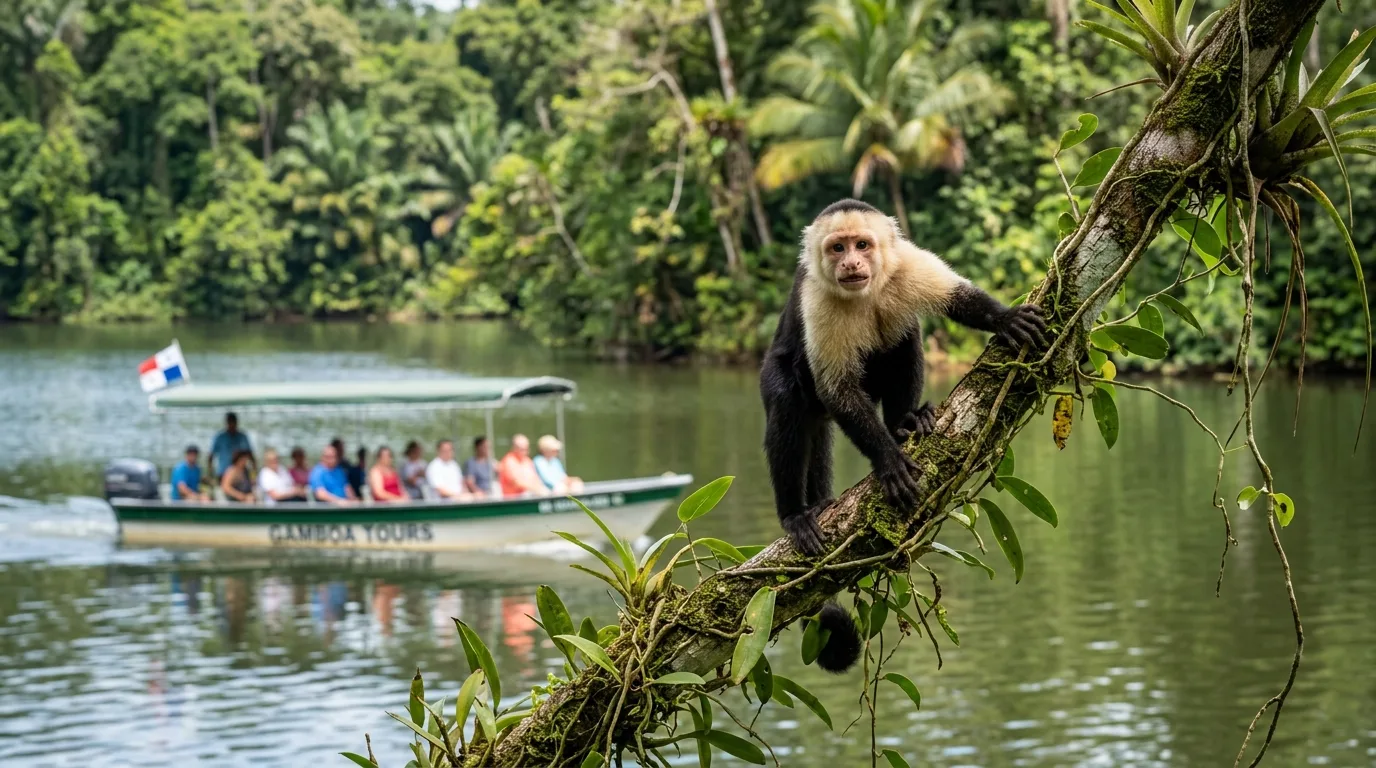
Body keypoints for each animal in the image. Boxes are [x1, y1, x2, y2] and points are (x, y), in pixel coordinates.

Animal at [758, 199, 1047, 672]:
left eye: (862, 244)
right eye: (837, 248)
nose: (851, 263)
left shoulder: (905, 262)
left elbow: (957, 297)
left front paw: (1004, 317)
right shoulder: (817, 298)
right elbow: (838, 390)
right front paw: (890, 461)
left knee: (901, 330)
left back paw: (906, 422)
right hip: (775, 374)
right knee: (788, 407)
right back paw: (796, 514)